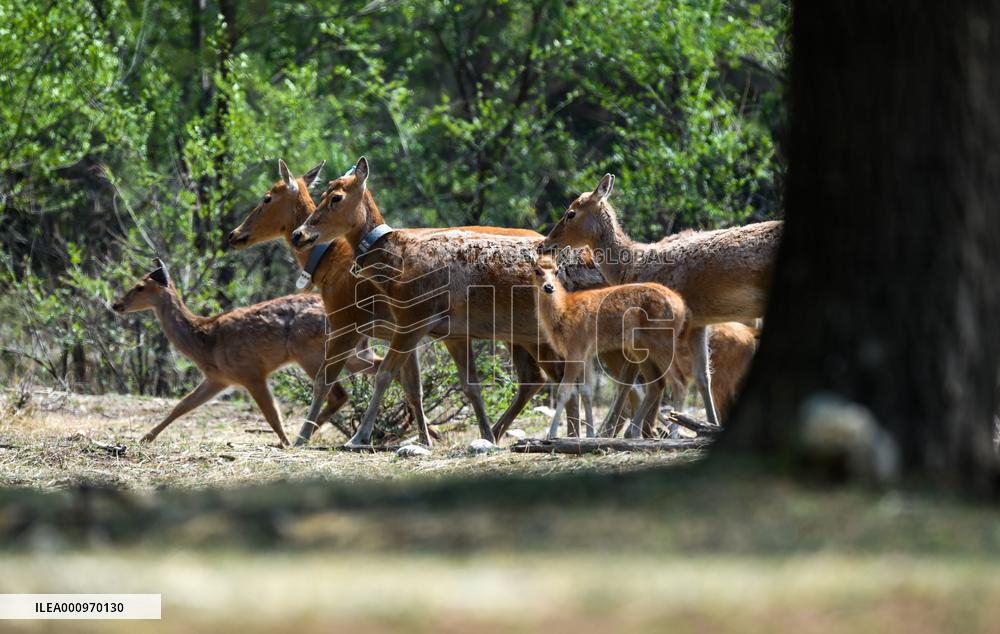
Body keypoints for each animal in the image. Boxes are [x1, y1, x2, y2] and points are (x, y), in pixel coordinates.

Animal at [111, 258, 379, 446]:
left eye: (140, 286)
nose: (116, 304)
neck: (204, 341)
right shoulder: (218, 379)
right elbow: (182, 405)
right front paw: (145, 438)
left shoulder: (251, 373)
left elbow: (272, 413)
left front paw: (284, 443)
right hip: (354, 353)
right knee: (371, 372)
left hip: (310, 351)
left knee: (335, 392)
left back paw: (303, 435)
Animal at [288, 157, 661, 447]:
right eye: (320, 193)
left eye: (335, 197)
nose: (299, 234)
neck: (395, 264)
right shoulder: (450, 331)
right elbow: (467, 385)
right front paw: (485, 435)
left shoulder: (414, 315)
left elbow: (384, 374)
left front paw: (358, 437)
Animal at [531, 255, 688, 438]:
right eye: (536, 270)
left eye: (556, 271)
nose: (549, 287)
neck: (563, 312)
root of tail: (682, 306)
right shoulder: (586, 354)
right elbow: (587, 392)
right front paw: (590, 434)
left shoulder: (575, 350)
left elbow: (563, 391)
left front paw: (552, 434)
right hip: (640, 347)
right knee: (656, 384)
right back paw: (633, 431)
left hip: (662, 340)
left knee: (680, 382)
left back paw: (673, 434)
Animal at [541, 173, 782, 430]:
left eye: (571, 213)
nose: (544, 244)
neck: (630, 267)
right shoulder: (699, 322)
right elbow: (702, 376)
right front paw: (707, 425)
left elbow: (629, 378)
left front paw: (614, 430)